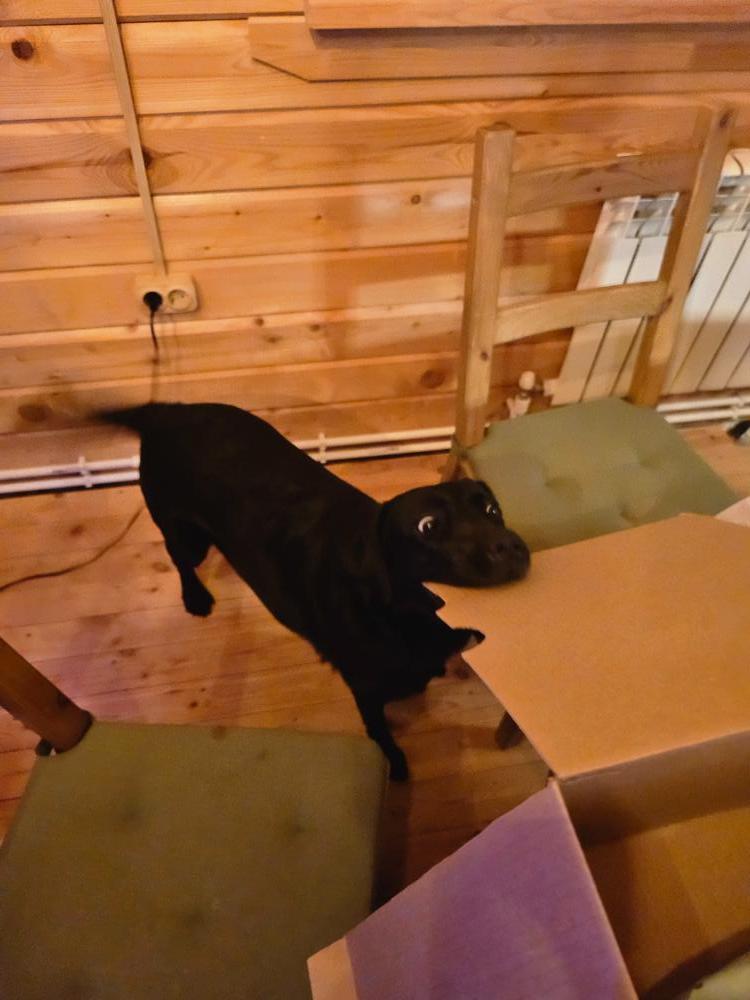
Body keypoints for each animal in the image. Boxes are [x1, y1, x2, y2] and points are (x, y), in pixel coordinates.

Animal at [99, 403, 530, 780]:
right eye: (428, 525)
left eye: (491, 509)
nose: (512, 546)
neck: (400, 615)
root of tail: (167, 409)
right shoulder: (365, 688)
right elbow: (379, 731)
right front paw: (394, 762)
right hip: (186, 536)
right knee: (180, 559)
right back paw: (196, 597)